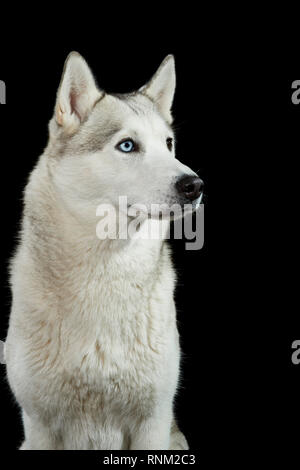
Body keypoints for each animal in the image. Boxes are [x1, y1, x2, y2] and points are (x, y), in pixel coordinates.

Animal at [4, 51, 204, 448]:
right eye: (127, 145)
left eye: (169, 144)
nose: (195, 185)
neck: (105, 269)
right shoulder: (39, 425)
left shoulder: (153, 421)